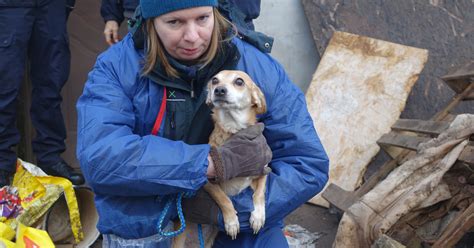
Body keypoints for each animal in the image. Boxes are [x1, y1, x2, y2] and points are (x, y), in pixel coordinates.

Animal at [172, 70, 268, 248]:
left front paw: (258, 216)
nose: (219, 90)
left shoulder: (263, 170)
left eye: (239, 81)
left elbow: (259, 193)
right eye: (215, 80)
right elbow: (223, 198)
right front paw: (231, 221)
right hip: (180, 238)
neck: (233, 129)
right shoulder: (208, 181)